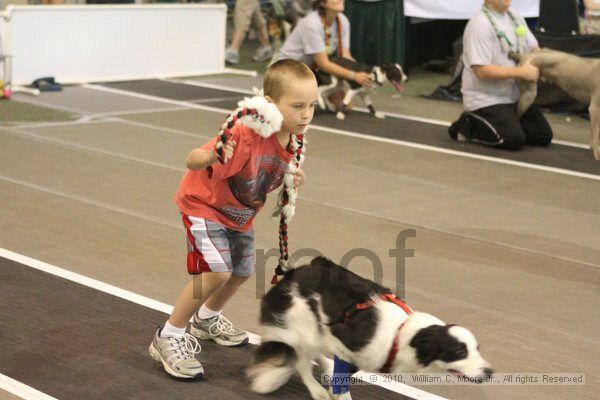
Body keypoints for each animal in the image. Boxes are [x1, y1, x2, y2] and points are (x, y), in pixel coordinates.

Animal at [247, 258, 492, 398]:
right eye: (459, 351)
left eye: (478, 349)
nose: (490, 372)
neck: (400, 337)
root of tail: (290, 273)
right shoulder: (344, 340)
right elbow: (339, 384)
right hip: (306, 327)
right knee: (301, 361)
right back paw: (316, 389)